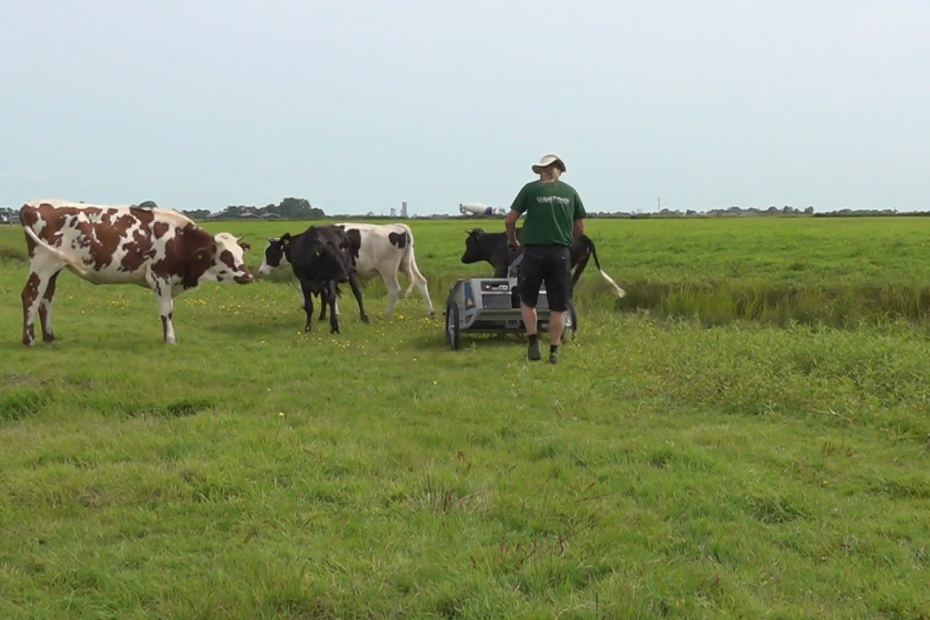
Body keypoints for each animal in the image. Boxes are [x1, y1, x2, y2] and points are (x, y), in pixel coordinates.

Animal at [20, 199, 254, 346]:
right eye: (225, 255)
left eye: (241, 252)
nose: (248, 275)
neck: (178, 239)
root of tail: (30, 205)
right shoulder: (159, 276)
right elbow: (166, 311)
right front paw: (170, 340)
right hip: (42, 263)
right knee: (31, 295)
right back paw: (29, 340)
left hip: (54, 267)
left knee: (46, 299)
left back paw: (49, 337)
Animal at [258, 223, 436, 318]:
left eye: (271, 252)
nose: (260, 271)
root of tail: (398, 227)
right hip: (406, 264)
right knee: (421, 282)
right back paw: (431, 311)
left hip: (388, 270)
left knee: (394, 290)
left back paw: (387, 313)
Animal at [462, 228, 628, 298]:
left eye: (468, 243)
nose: (462, 258)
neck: (495, 243)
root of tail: (585, 237)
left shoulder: (500, 269)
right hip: (579, 267)